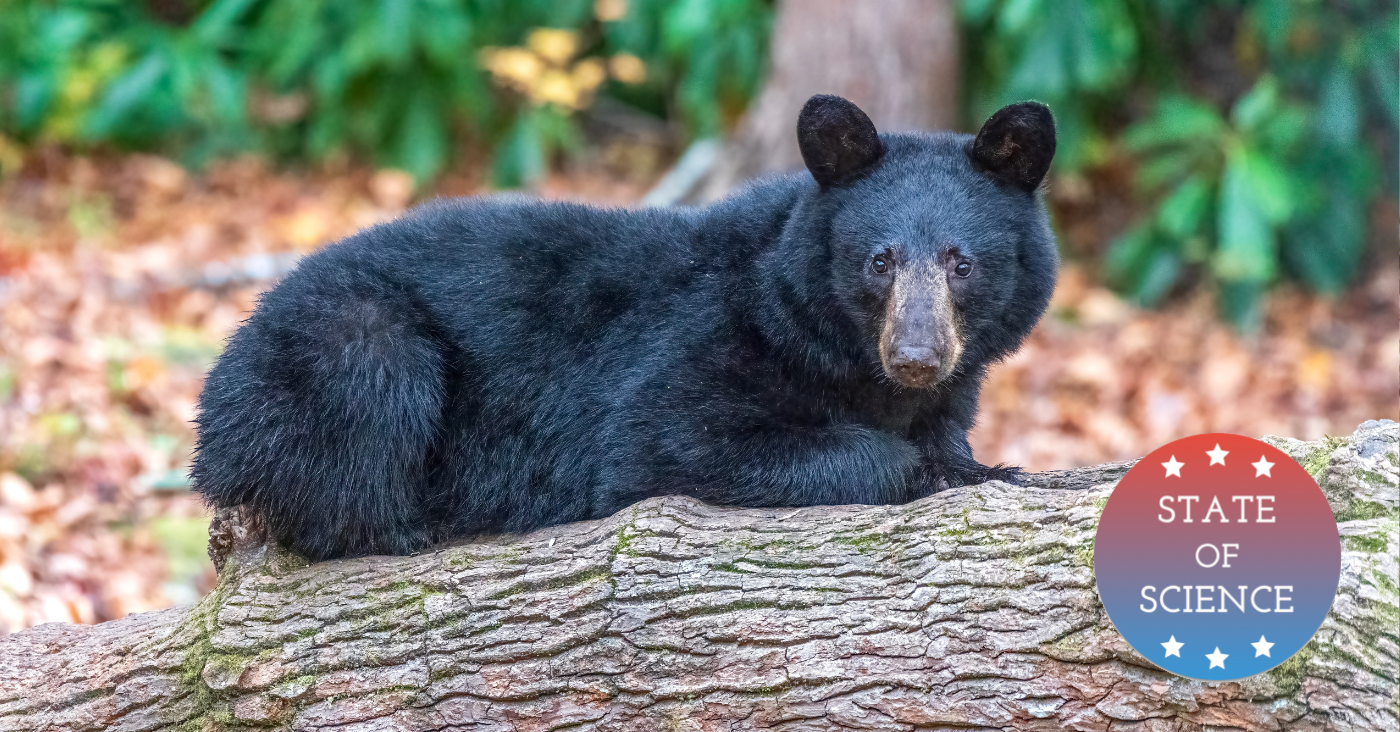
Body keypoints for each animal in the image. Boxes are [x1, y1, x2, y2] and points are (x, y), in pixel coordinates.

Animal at [191, 95, 1058, 562]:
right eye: (880, 260)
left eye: (961, 262)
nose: (916, 356)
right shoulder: (699, 337)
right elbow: (667, 435)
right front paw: (923, 469)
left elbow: (948, 429)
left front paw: (983, 465)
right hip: (344, 341)